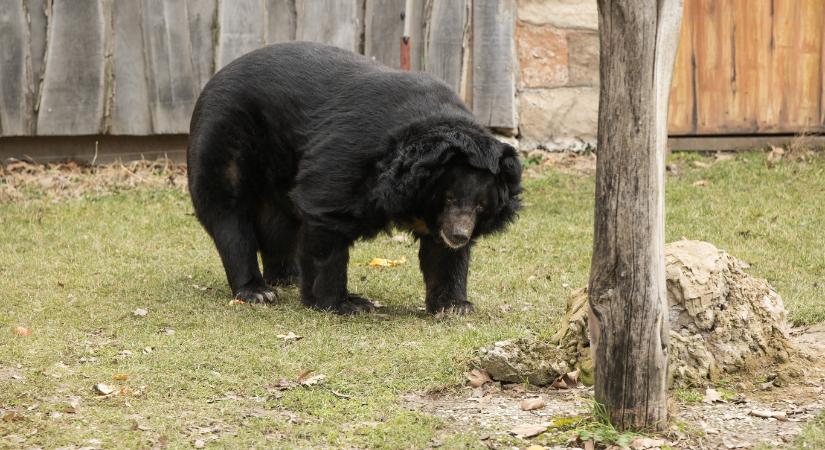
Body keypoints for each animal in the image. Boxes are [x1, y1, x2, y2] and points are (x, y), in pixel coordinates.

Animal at [187, 43, 520, 316]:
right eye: (448, 197)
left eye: (481, 206)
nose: (460, 234)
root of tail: (214, 78)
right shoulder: (352, 157)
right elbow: (327, 215)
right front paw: (344, 303)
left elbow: (442, 255)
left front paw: (456, 305)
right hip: (226, 136)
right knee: (228, 212)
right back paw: (258, 292)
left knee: (278, 224)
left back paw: (287, 276)